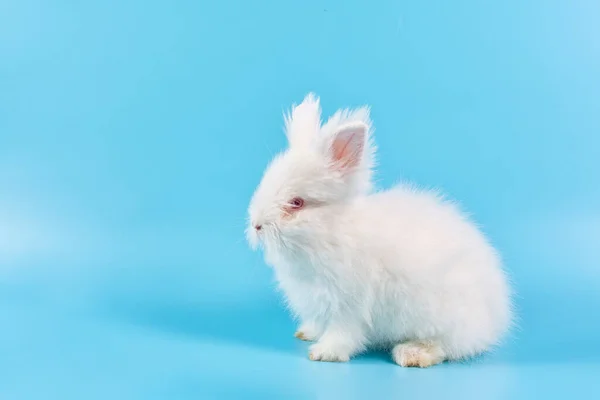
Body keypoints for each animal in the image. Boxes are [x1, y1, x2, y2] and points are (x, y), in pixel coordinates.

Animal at [246, 93, 512, 366]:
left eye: (296, 203)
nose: (256, 225)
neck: (329, 233)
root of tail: (496, 319)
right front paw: (307, 333)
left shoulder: (348, 306)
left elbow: (343, 333)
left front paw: (323, 353)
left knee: (446, 346)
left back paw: (412, 354)